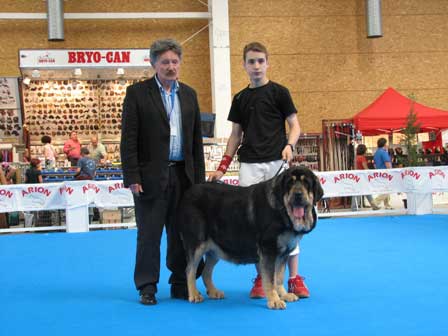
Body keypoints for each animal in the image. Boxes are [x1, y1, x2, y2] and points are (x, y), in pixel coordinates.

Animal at [178, 166, 322, 310]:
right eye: (289, 183)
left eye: (306, 183)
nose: (298, 194)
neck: (283, 211)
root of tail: (188, 193)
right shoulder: (268, 249)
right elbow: (270, 279)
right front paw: (274, 300)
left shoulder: (283, 253)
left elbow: (279, 277)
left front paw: (284, 294)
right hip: (197, 244)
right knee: (190, 270)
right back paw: (194, 294)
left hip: (215, 250)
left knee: (205, 272)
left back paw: (213, 292)